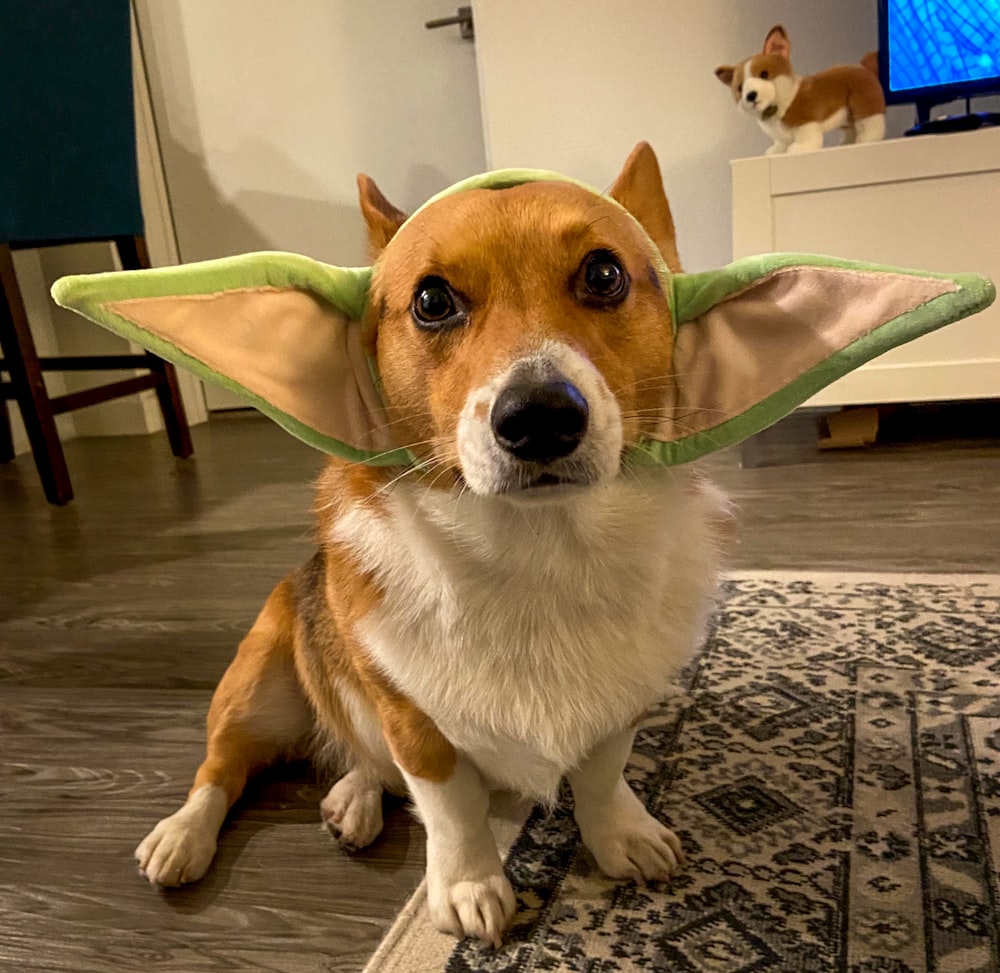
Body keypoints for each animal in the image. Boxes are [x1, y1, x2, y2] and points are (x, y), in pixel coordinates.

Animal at [133, 146, 732, 948]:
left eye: (604, 274)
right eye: (432, 300)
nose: (540, 417)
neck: (541, 549)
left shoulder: (623, 700)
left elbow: (602, 775)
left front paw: (622, 835)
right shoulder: (412, 716)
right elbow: (450, 805)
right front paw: (471, 887)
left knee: (360, 761)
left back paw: (352, 801)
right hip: (260, 681)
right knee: (227, 766)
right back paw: (183, 835)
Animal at [716, 24, 888, 154]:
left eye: (764, 74)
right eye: (740, 88)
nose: (750, 95)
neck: (780, 102)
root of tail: (863, 67)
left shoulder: (806, 122)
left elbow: (808, 138)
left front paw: (799, 149)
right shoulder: (781, 136)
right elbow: (781, 142)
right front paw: (776, 151)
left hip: (863, 105)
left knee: (871, 124)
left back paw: (864, 140)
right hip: (847, 115)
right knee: (851, 128)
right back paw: (847, 143)